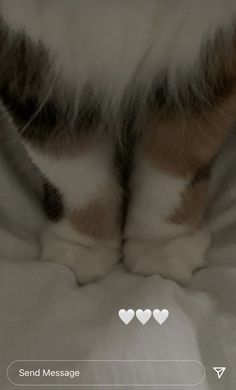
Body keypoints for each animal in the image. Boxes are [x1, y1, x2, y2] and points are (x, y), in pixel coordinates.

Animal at [0, 1, 236, 284]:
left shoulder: (205, 52)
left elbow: (176, 162)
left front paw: (161, 248)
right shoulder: (34, 62)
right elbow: (74, 172)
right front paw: (83, 248)